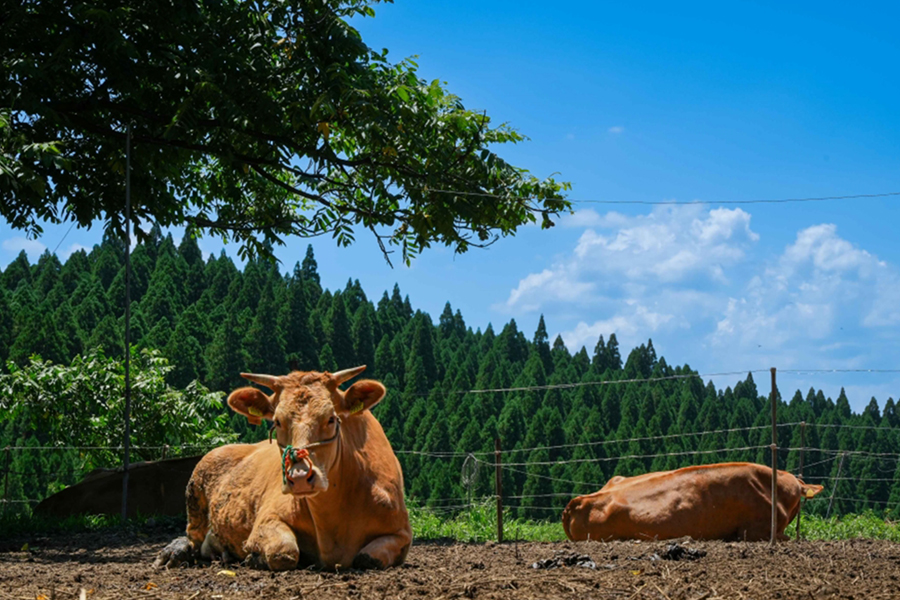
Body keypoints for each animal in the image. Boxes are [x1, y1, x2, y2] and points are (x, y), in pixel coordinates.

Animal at [154, 366, 412, 572]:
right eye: (277, 421)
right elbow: (285, 551)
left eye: (331, 418)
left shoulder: (402, 534)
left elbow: (367, 558)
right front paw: (254, 557)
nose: (299, 477)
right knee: (192, 536)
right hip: (196, 487)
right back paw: (175, 552)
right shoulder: (267, 519)